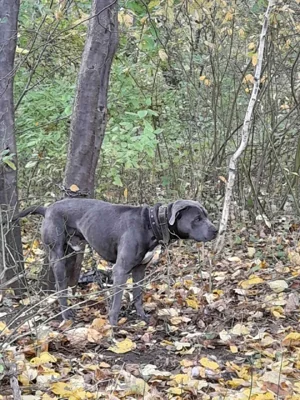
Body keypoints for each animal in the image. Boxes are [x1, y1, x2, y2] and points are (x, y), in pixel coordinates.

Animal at [14, 198, 218, 326]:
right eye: (198, 218)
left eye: (206, 216)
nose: (216, 230)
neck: (151, 223)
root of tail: (47, 209)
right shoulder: (120, 270)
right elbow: (117, 302)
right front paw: (112, 325)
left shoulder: (139, 269)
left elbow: (137, 295)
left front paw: (142, 317)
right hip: (56, 255)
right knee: (60, 286)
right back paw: (66, 315)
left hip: (72, 252)